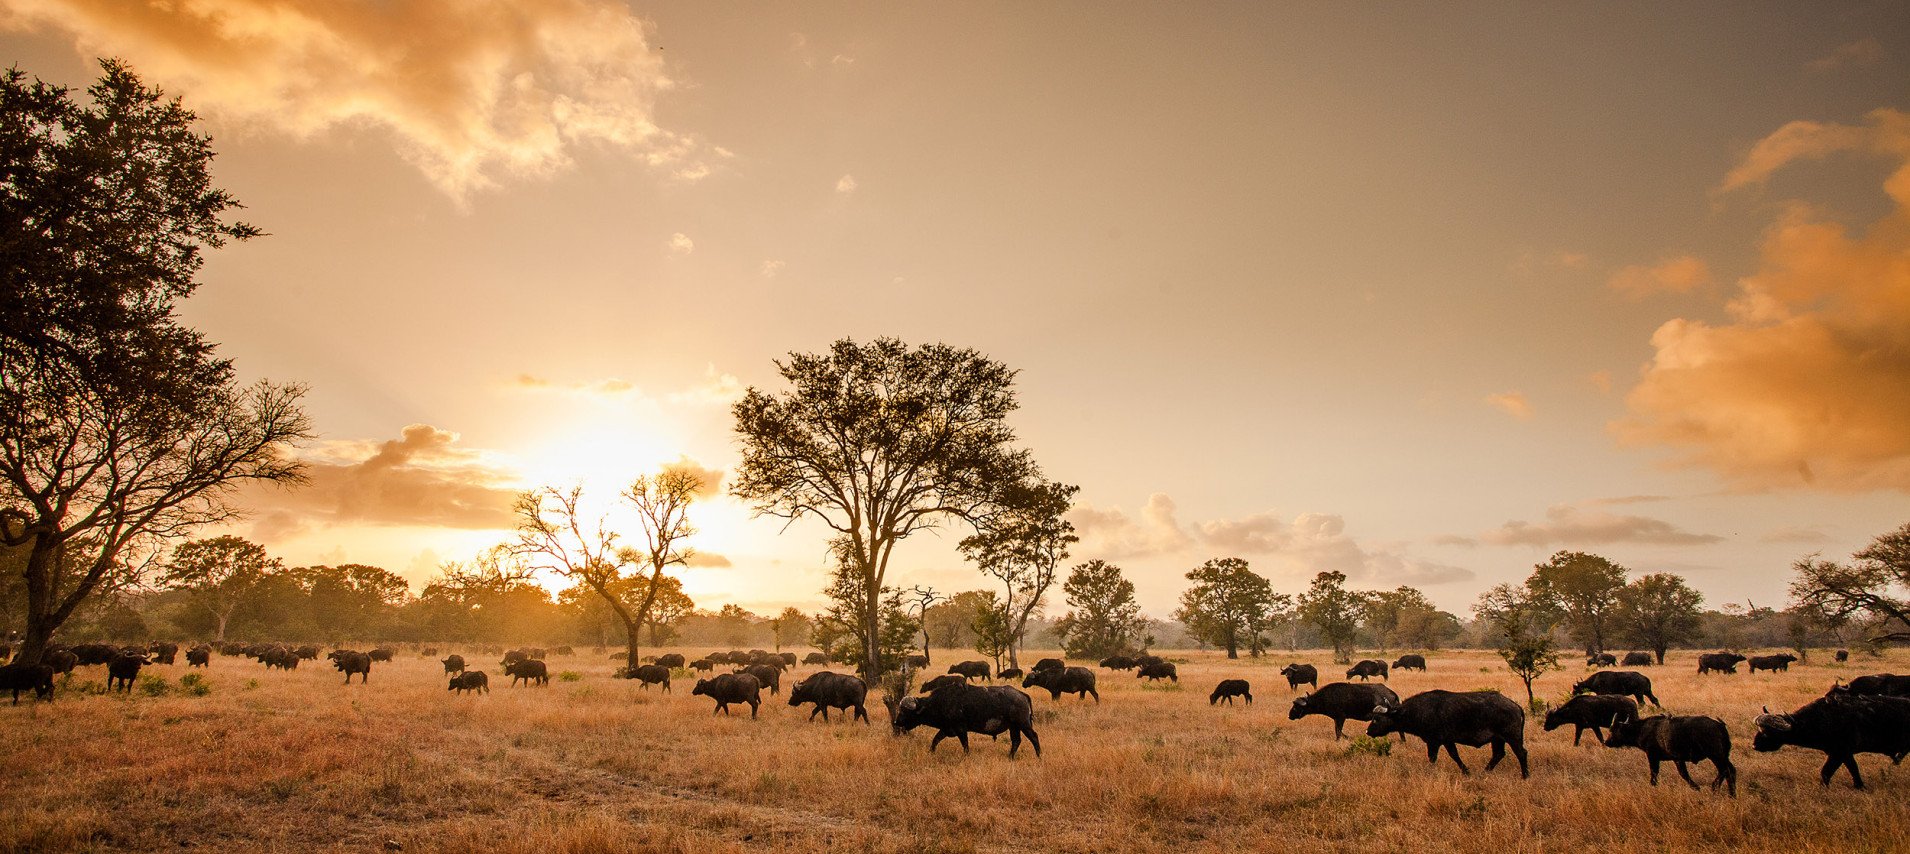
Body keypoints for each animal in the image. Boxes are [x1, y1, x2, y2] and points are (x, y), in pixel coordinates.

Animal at [892, 682, 1041, 758]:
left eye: (904, 711)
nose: (896, 722)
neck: (940, 702)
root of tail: (1021, 694)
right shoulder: (946, 729)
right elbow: (935, 740)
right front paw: (931, 752)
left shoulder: (961, 730)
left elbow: (965, 745)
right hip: (1013, 727)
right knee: (1016, 741)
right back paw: (1010, 757)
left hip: (1023, 724)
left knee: (1033, 737)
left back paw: (1038, 755)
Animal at [1368, 689, 1529, 778]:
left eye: (1376, 719)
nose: (1367, 731)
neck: (1419, 711)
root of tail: (1515, 705)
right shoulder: (1447, 741)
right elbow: (1455, 755)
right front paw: (1466, 771)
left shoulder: (1434, 742)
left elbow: (1432, 758)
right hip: (1497, 739)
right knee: (1498, 754)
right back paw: (1485, 771)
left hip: (1512, 737)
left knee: (1521, 753)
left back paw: (1525, 775)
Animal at [1606, 715, 1735, 796]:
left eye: (1612, 730)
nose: (1606, 742)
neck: (1642, 729)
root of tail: (1718, 724)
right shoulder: (1677, 759)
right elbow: (1684, 774)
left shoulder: (1653, 757)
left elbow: (1654, 775)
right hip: (1723, 756)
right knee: (1730, 771)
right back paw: (1731, 795)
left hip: (1715, 755)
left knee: (1726, 770)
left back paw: (1715, 787)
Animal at [1754, 693, 1910, 788]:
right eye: (1759, 729)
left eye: (1768, 732)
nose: (1755, 745)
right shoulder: (1840, 754)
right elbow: (1847, 770)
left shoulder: (1841, 753)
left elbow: (1830, 771)